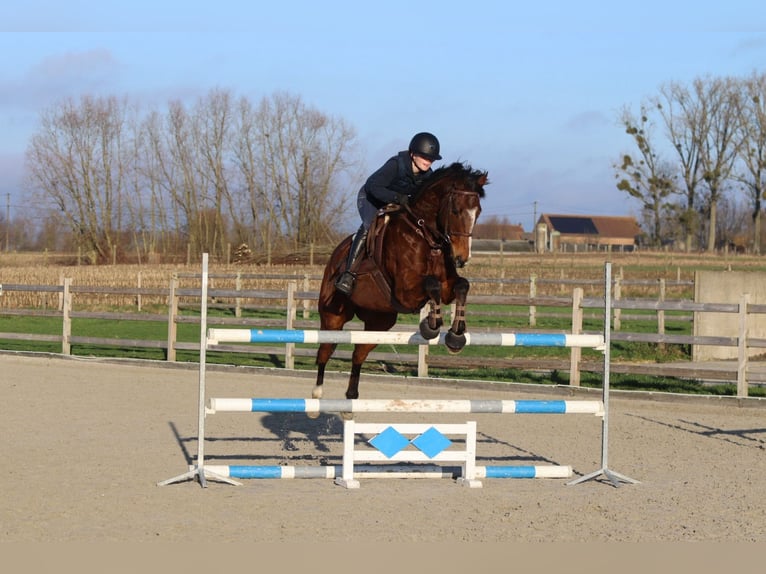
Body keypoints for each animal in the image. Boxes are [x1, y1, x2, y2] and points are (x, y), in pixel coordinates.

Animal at [312, 161, 488, 404]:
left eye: (478, 212)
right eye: (455, 211)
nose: (462, 258)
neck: (425, 236)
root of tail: (334, 256)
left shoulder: (446, 287)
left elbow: (462, 286)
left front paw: (456, 336)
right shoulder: (405, 292)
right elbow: (431, 284)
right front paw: (431, 327)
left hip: (379, 322)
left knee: (358, 353)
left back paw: (351, 398)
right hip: (333, 316)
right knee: (325, 350)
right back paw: (317, 395)